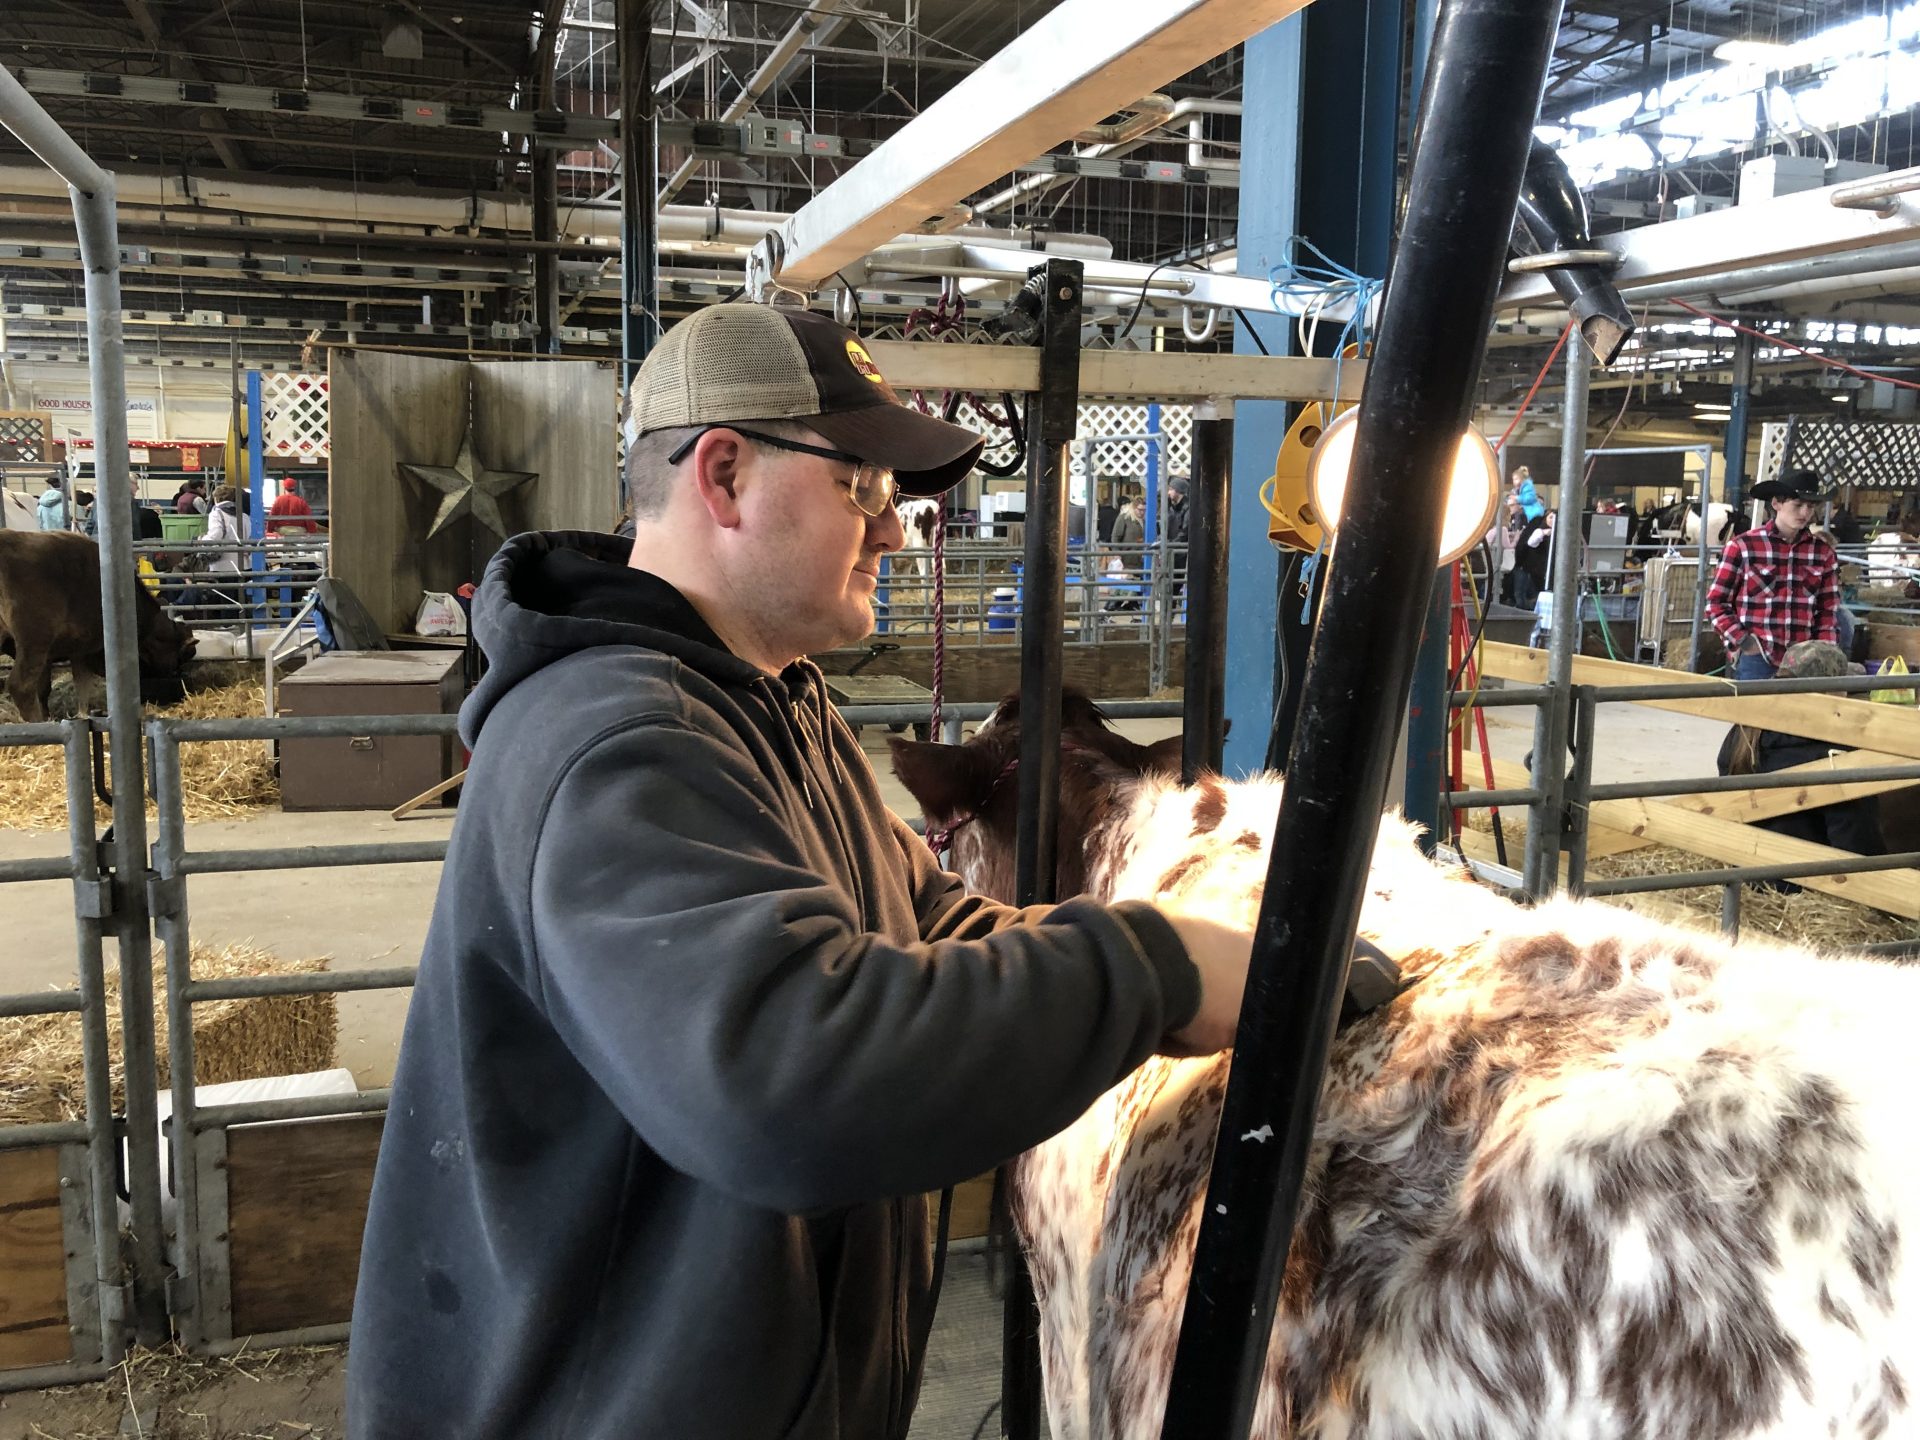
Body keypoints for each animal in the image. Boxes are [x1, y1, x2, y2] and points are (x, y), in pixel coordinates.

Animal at [0, 529, 196, 721]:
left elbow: (47, 689)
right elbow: (80, 685)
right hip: (34, 641)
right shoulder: (82, 649)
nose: (177, 673)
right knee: (21, 686)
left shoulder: (58, 655)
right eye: (181, 656)